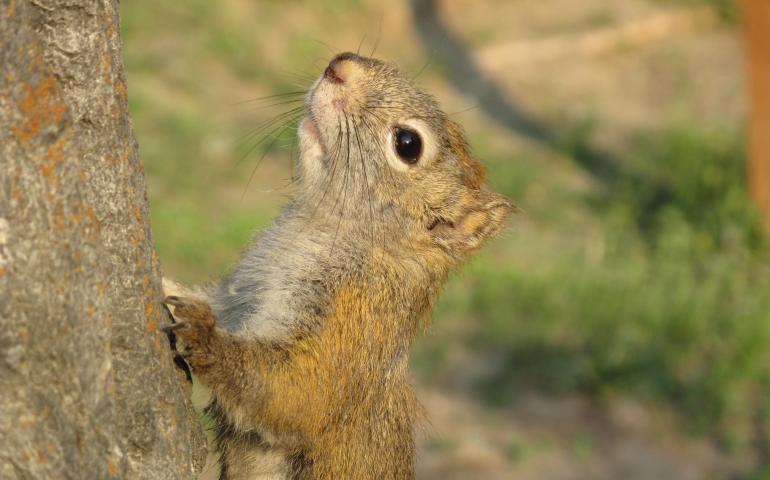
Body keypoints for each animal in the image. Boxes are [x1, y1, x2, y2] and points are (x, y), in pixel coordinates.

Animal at [162, 52, 513, 480]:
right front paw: (163, 281)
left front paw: (204, 338)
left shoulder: (354, 324)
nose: (338, 65)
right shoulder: (239, 292)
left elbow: (298, 392)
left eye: (408, 144)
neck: (319, 226)